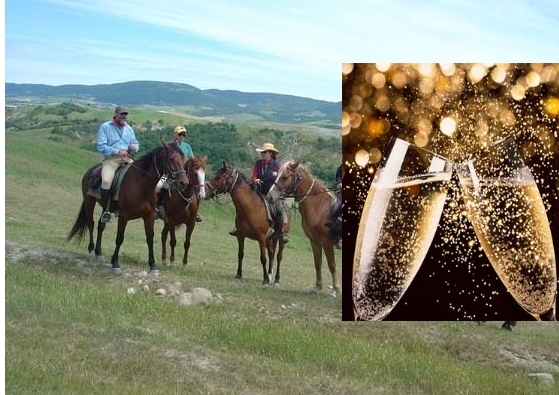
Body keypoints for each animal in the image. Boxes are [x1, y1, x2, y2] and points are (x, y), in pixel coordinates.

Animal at [68, 142, 189, 276]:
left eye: (182, 159)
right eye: (171, 159)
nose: (184, 183)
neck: (141, 184)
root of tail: (92, 170)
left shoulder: (149, 216)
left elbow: (150, 239)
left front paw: (153, 266)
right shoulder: (124, 216)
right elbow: (119, 238)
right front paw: (115, 263)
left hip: (105, 208)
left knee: (101, 225)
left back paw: (98, 253)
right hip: (89, 202)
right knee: (91, 224)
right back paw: (90, 251)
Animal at [268, 161, 342, 296]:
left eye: (284, 177)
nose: (269, 196)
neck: (318, 206)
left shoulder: (327, 243)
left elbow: (332, 265)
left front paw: (335, 290)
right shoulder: (315, 241)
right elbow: (318, 263)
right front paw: (317, 287)